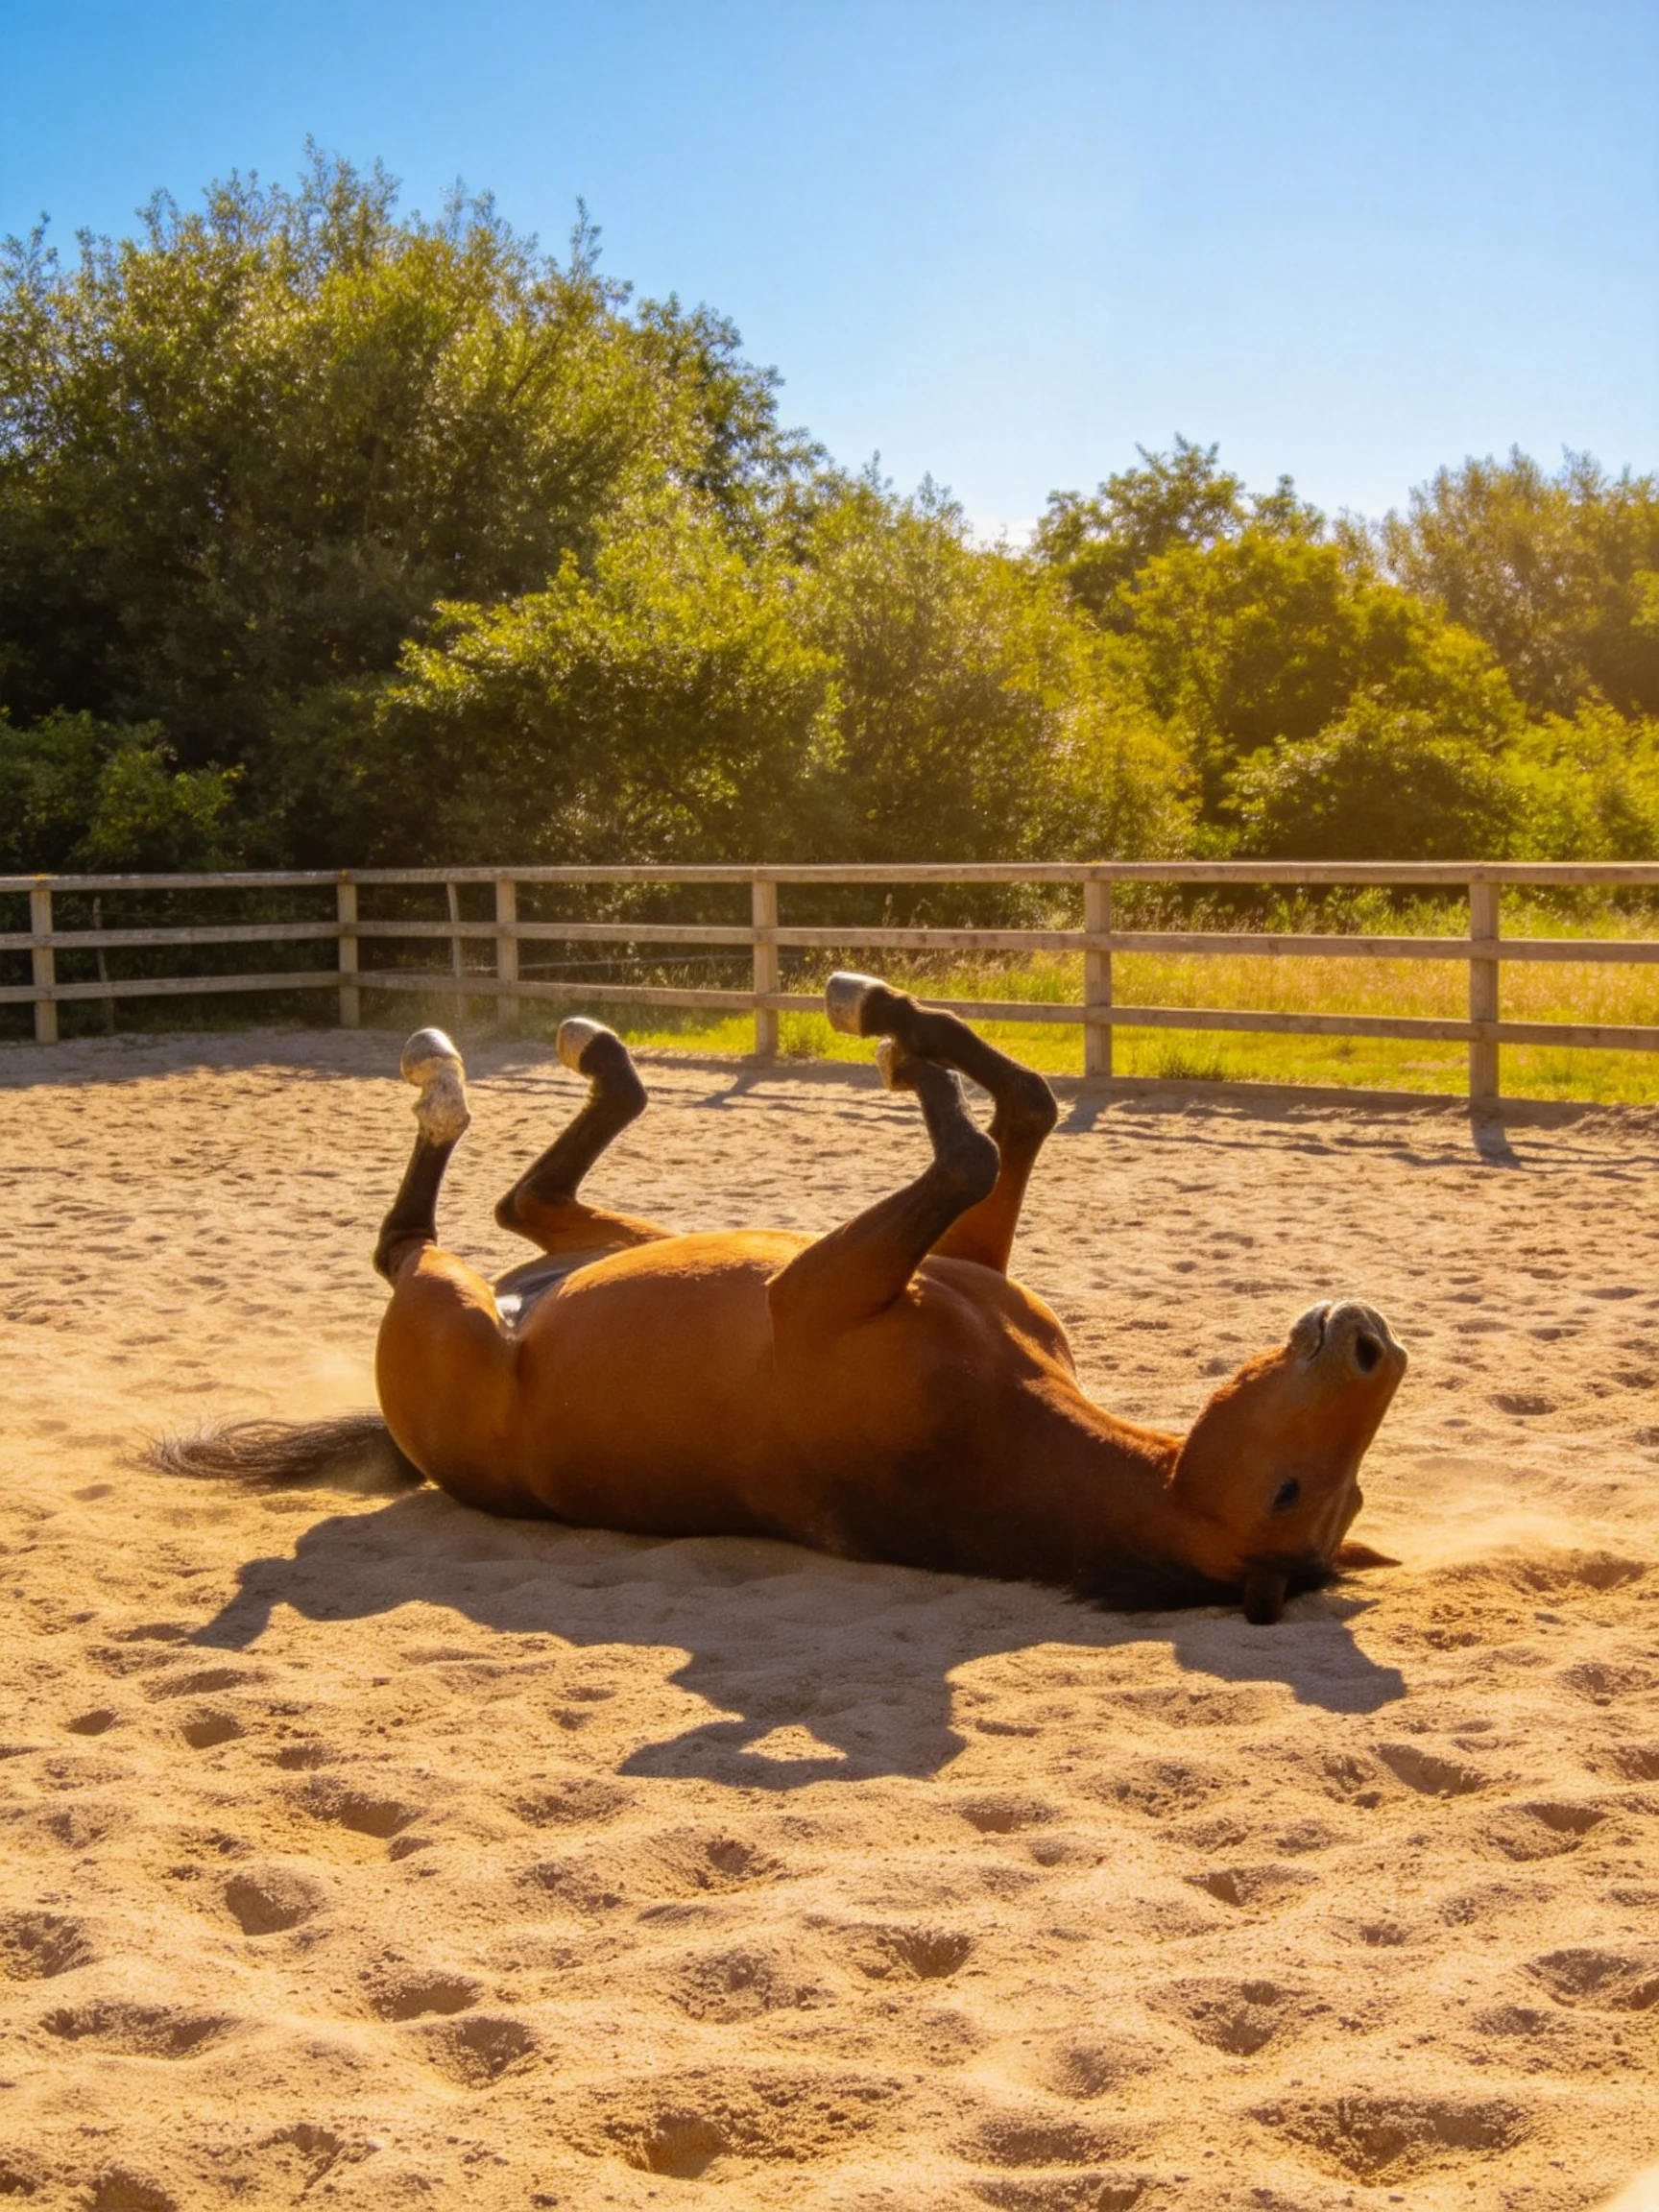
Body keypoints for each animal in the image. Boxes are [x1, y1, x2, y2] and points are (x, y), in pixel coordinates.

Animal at [161, 976, 1406, 1625]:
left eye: (1299, 1494)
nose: (1373, 1345)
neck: (1010, 1416)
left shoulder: (813, 1289)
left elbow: (970, 1154)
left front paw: (893, 1033)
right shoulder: (959, 1263)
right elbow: (1024, 1112)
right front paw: (899, 1024)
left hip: (448, 1311)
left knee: (409, 1237)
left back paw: (443, 1077)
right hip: (605, 1248)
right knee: (530, 1197)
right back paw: (590, 1047)